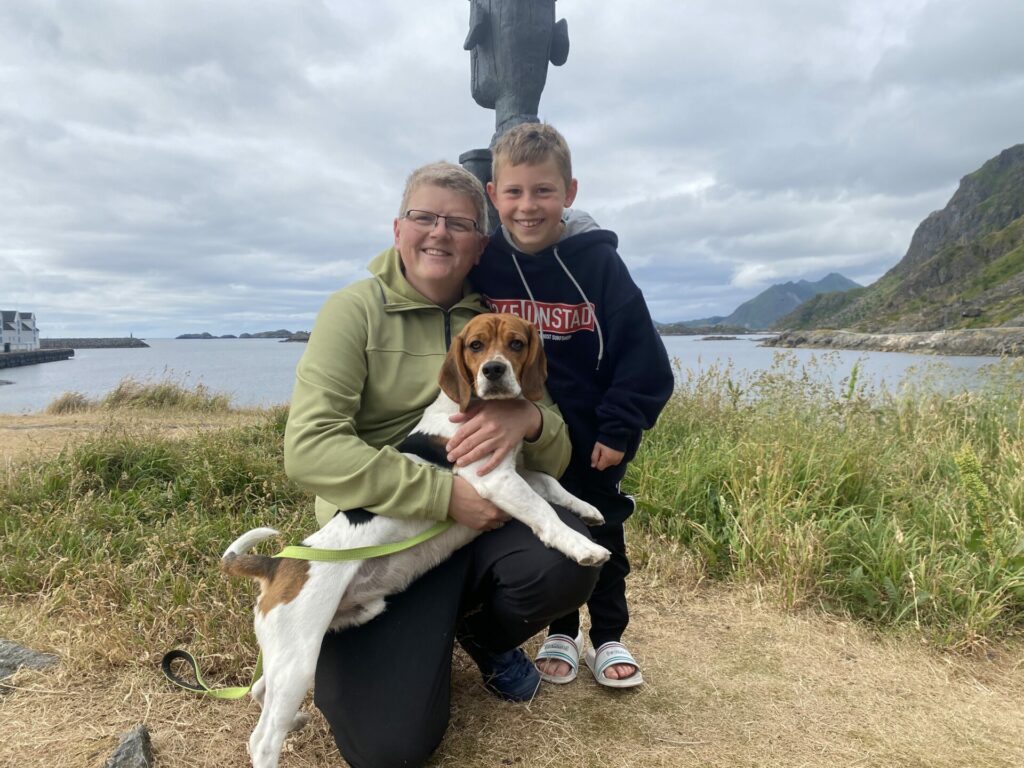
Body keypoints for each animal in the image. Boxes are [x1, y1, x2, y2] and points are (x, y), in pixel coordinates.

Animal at [224, 313, 606, 768]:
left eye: (516, 343)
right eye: (476, 346)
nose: (494, 371)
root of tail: (277, 562)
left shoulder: (515, 471)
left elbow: (550, 484)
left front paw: (587, 509)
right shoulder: (494, 480)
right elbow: (544, 513)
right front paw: (582, 546)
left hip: (302, 646)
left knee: (260, 690)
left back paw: (297, 719)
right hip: (299, 655)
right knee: (262, 738)